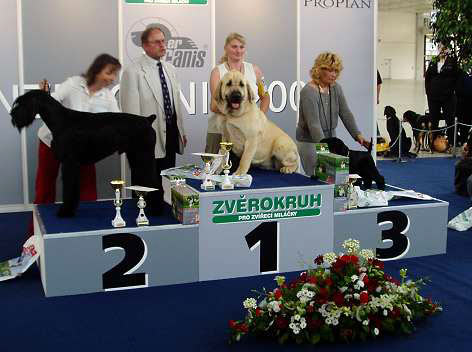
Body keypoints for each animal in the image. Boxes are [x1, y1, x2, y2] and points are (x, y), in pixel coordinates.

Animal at [10, 90, 164, 217]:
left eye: (22, 102)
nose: (13, 116)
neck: (60, 120)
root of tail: (147, 119)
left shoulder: (69, 163)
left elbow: (69, 187)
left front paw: (65, 211)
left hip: (143, 156)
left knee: (155, 181)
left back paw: (157, 210)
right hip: (136, 157)